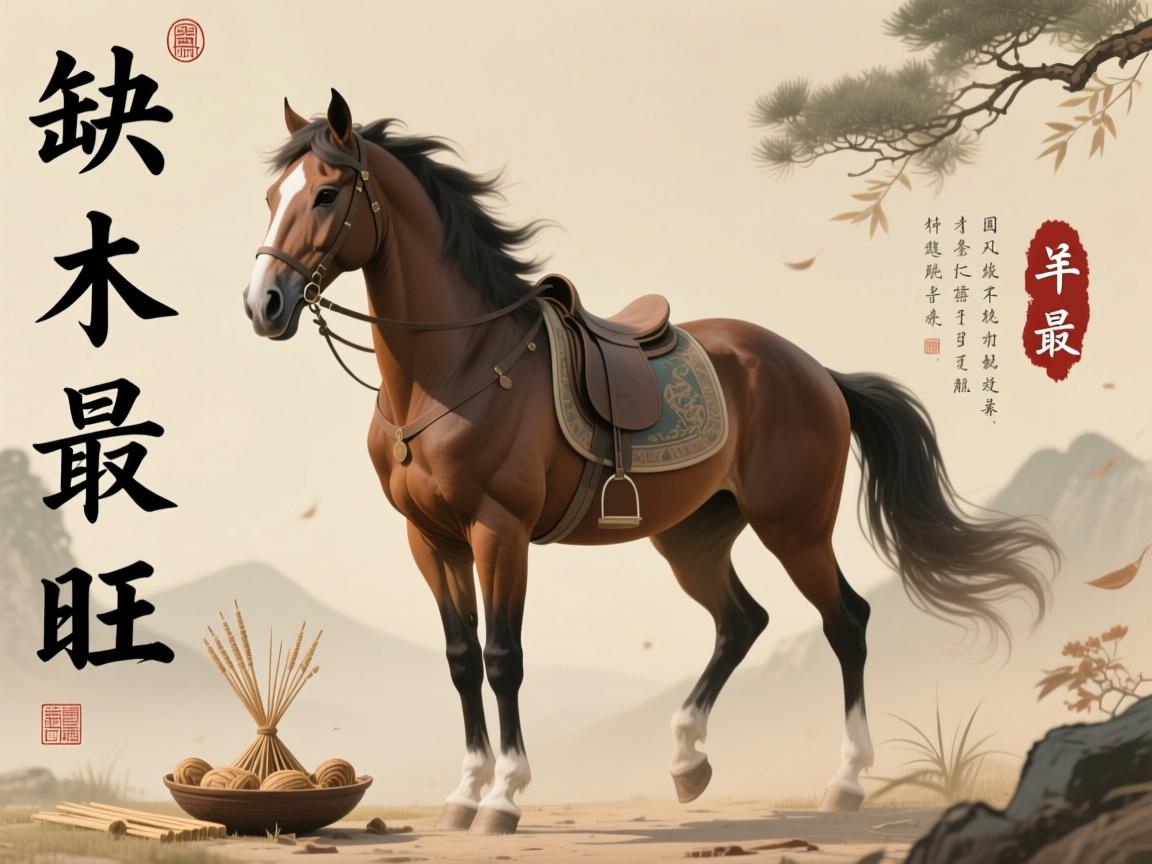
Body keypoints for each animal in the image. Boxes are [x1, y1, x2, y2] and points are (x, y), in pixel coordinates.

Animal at [243, 89, 1058, 835]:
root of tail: (816, 371)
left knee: (845, 622)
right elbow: (461, 658)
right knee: (742, 622)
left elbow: (503, 657)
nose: (264, 305)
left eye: (325, 192)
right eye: (271, 196)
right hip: (692, 535)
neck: (457, 366)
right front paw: (465, 792)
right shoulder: (431, 539)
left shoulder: (498, 532)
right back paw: (687, 761)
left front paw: (504, 796)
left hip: (794, 528)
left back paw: (846, 782)